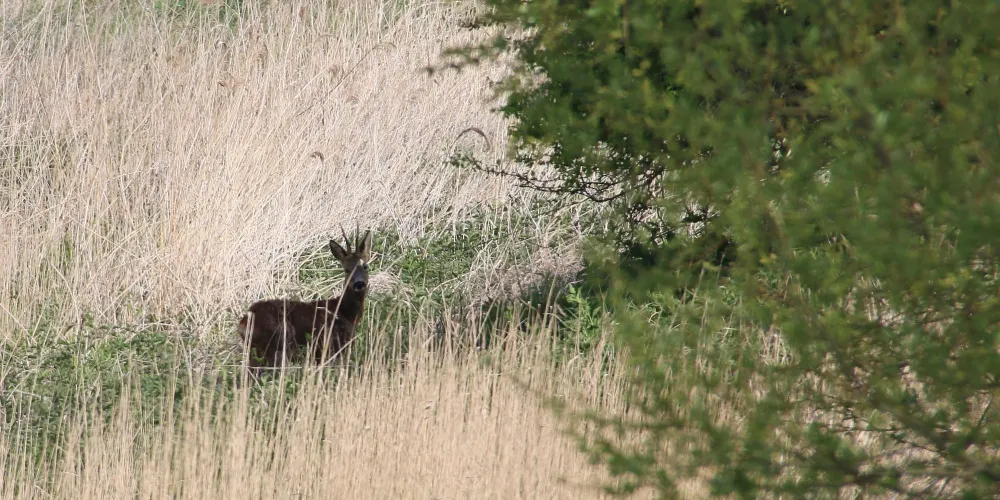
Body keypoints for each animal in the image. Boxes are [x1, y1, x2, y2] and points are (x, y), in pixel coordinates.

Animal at [238, 228, 372, 369]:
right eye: (347, 270)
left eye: (365, 266)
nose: (359, 283)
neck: (346, 312)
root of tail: (243, 322)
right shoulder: (334, 344)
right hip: (281, 339)